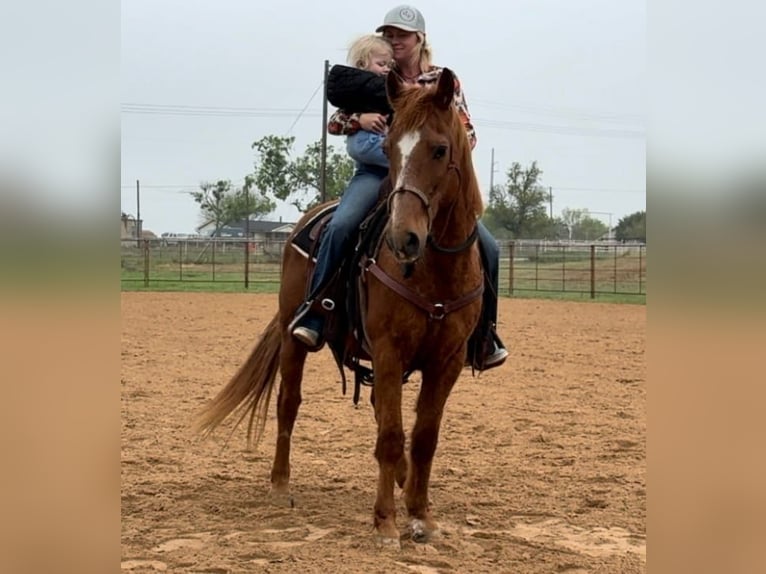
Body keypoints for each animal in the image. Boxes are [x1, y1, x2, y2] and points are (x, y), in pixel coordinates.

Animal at [195, 68, 485, 545]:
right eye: (388, 148)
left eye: (440, 149)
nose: (403, 238)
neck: (434, 271)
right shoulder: (388, 350)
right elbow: (391, 435)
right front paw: (385, 522)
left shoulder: (447, 360)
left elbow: (423, 437)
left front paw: (421, 515)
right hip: (295, 337)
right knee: (289, 402)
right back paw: (281, 485)